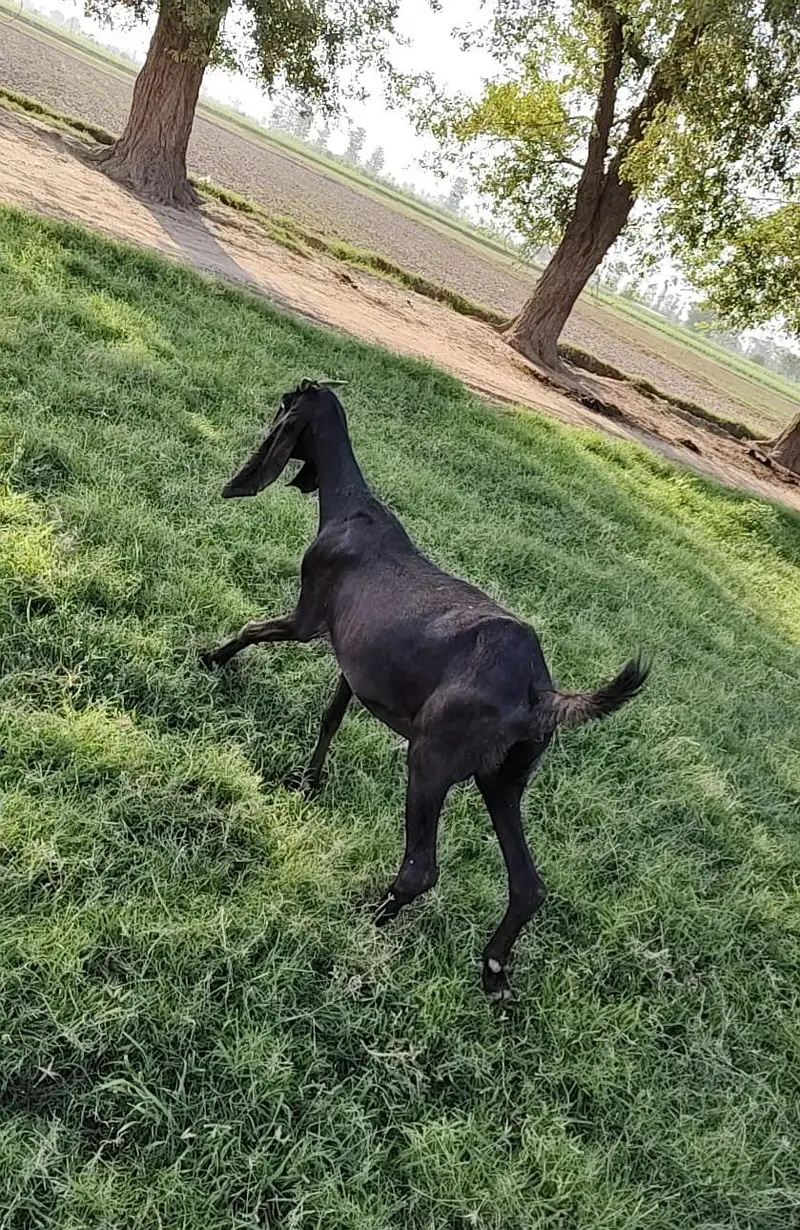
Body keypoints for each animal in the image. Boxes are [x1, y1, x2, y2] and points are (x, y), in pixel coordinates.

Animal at [203, 380, 648, 999]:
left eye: (285, 404)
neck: (350, 506)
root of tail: (539, 691)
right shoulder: (355, 667)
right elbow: (330, 718)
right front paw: (307, 782)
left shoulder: (308, 620)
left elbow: (252, 628)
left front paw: (211, 659)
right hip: (502, 781)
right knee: (528, 885)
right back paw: (494, 972)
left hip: (431, 761)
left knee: (420, 868)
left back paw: (370, 918)